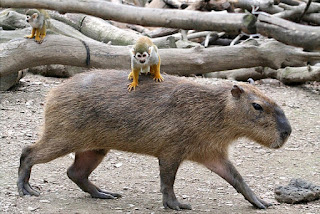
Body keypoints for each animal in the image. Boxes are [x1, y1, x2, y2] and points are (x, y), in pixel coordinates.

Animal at [17, 69, 292, 211]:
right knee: (28, 151)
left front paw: (261, 202)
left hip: (95, 147)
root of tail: (53, 92)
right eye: (257, 106)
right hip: (62, 137)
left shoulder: (213, 153)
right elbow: (167, 180)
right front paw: (176, 205)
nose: (287, 132)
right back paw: (26, 188)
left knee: (74, 172)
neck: (211, 108)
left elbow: (237, 177)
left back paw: (105, 194)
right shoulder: (171, 150)